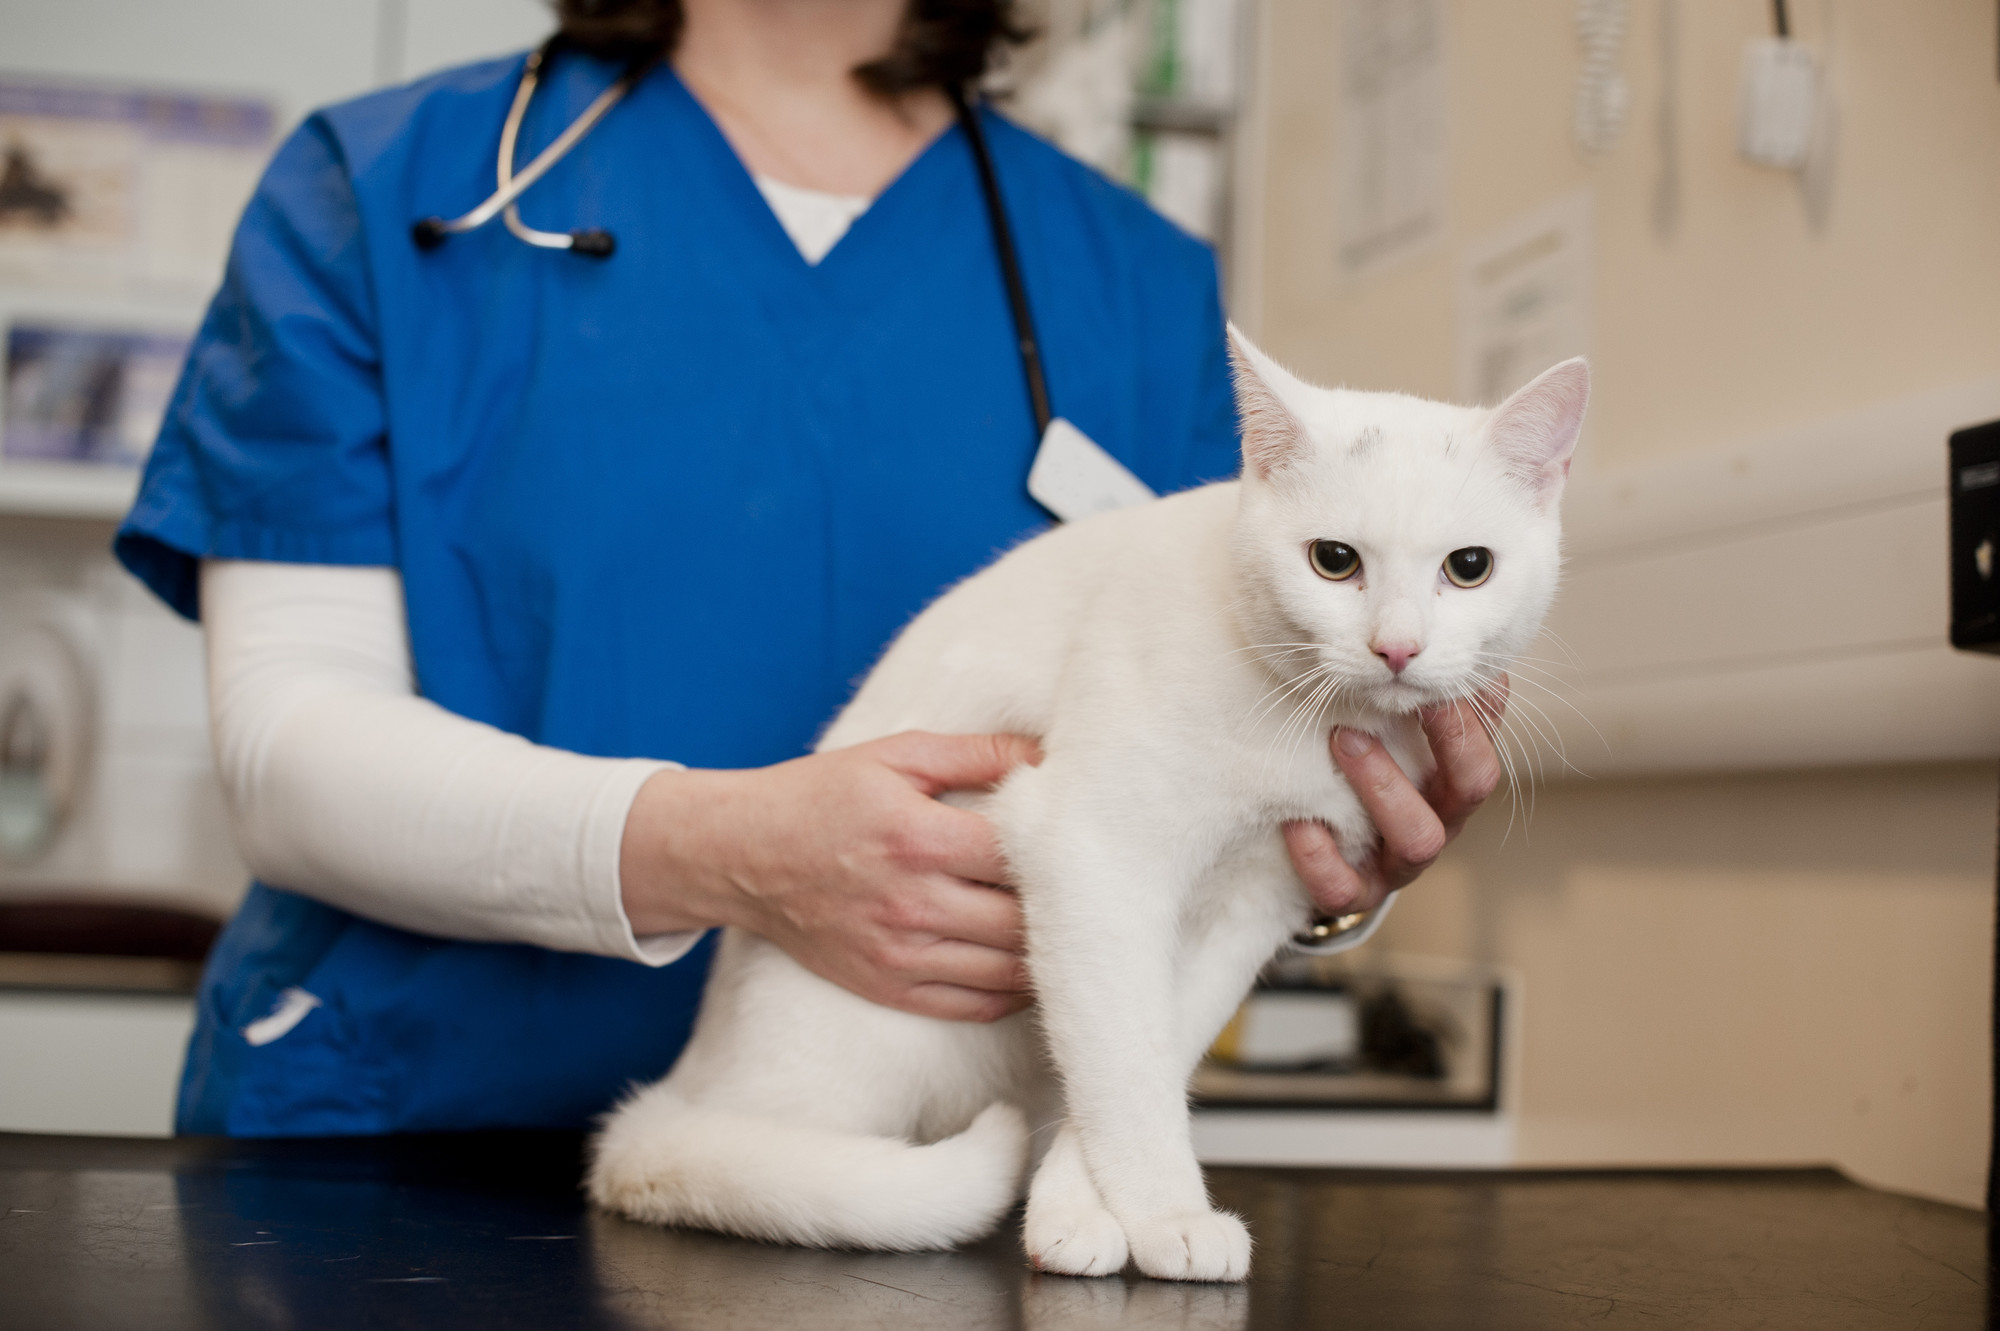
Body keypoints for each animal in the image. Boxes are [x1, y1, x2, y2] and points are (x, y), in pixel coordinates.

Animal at [584, 329, 1584, 1279]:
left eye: (1469, 567)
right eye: (1334, 561)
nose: (1398, 648)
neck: (1307, 726)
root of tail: (690, 1081)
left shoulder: (1252, 904)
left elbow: (1148, 1051)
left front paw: (1077, 1208)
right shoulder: (1090, 856)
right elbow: (1123, 1062)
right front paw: (1165, 1212)